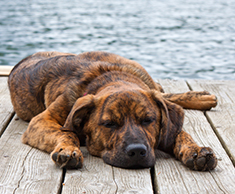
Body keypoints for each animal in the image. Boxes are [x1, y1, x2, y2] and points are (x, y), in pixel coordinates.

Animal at [8, 50, 218, 171]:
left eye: (148, 120)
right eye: (109, 124)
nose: (137, 151)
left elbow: (181, 133)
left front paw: (196, 149)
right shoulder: (42, 120)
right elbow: (67, 133)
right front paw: (68, 149)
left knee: (162, 93)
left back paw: (202, 97)